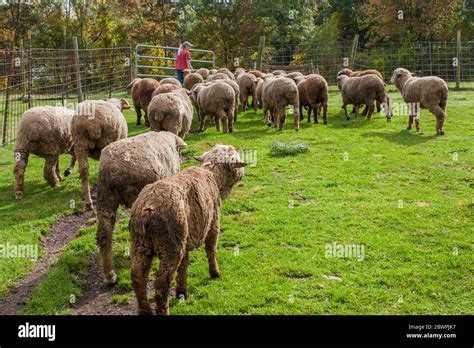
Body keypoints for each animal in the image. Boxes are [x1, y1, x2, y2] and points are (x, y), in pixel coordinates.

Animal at [131, 144, 248, 316]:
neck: (214, 176)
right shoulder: (213, 224)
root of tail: (147, 210)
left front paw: (182, 291)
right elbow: (211, 250)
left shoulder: (185, 238)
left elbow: (184, 265)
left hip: (141, 244)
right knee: (162, 283)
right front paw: (215, 273)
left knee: (137, 277)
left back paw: (145, 310)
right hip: (170, 246)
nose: (242, 175)